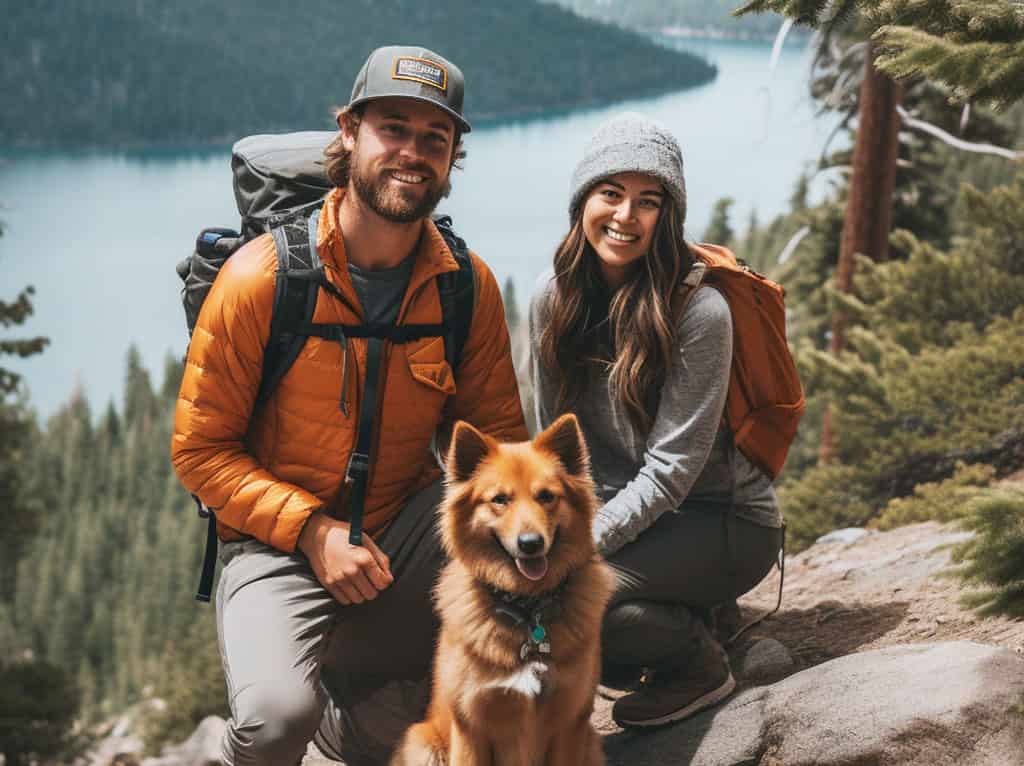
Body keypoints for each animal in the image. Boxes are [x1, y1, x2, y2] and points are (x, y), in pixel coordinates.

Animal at [391, 415, 614, 761]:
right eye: (499, 500)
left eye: (546, 496)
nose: (531, 544)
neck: (527, 609)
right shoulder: (470, 726)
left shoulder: (571, 721)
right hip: (422, 742)